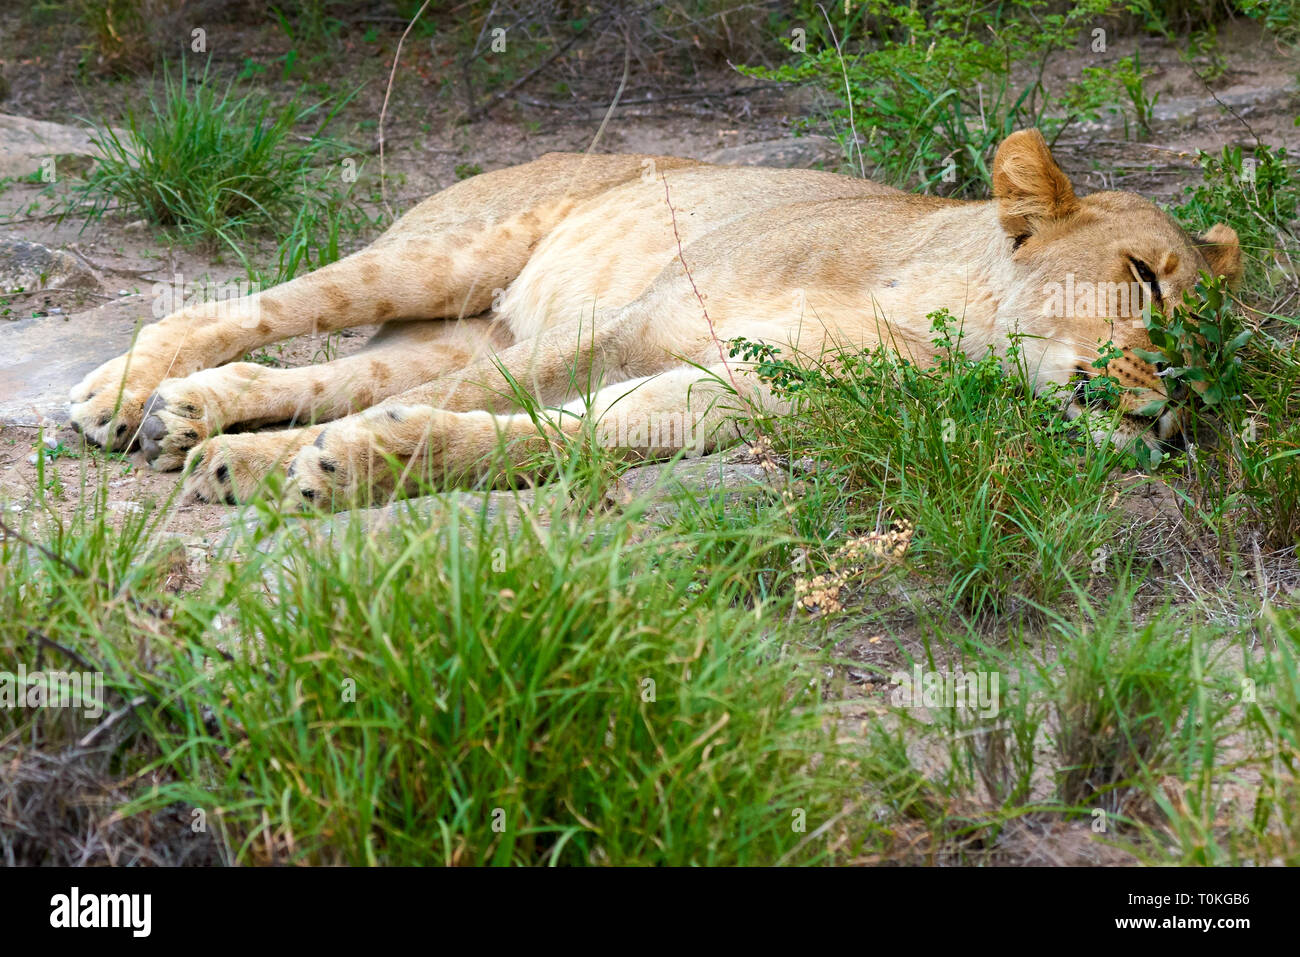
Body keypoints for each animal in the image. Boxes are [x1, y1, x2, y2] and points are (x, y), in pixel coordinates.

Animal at [68, 130, 1237, 512]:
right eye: (1146, 279)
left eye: (1215, 358)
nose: (1172, 416)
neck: (942, 321)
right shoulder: (623, 330)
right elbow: (487, 403)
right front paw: (275, 469)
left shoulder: (737, 393)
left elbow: (545, 436)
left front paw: (353, 464)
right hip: (445, 254)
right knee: (243, 306)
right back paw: (121, 396)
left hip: (459, 324)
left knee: (331, 377)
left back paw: (187, 415)